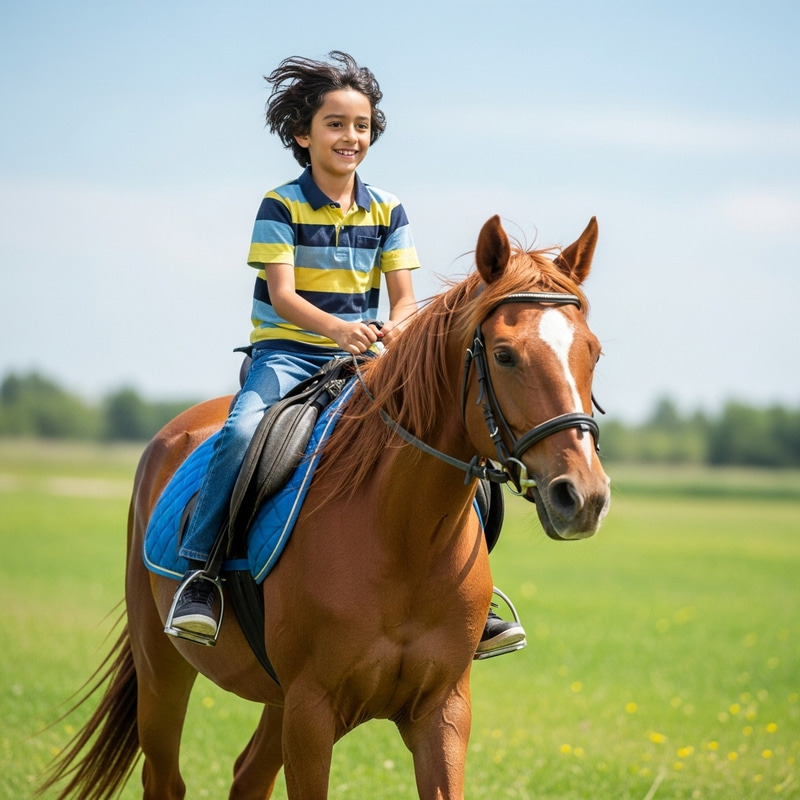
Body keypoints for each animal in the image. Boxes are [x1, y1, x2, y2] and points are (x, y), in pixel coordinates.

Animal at [39, 215, 611, 800]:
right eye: (504, 354)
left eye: (593, 351)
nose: (583, 495)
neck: (402, 537)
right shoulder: (311, 713)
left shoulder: (442, 712)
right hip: (162, 669)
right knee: (165, 778)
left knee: (247, 775)